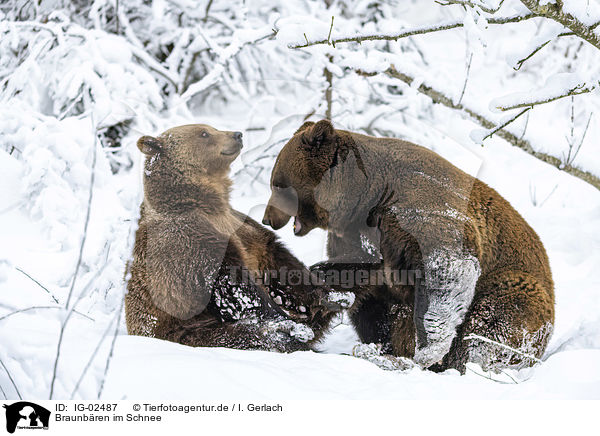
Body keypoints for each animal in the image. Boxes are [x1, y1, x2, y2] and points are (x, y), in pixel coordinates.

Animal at [126, 124, 352, 352]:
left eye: (210, 127)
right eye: (204, 133)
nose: (237, 134)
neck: (207, 204)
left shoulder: (241, 226)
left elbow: (279, 263)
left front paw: (333, 295)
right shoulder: (186, 239)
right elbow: (234, 285)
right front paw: (289, 323)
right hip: (190, 329)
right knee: (251, 338)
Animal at [264, 121, 556, 372]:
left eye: (277, 184)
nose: (267, 218)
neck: (366, 199)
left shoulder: (419, 214)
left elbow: (447, 273)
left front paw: (427, 351)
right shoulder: (360, 239)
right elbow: (354, 279)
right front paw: (292, 297)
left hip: (515, 289)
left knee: (490, 324)